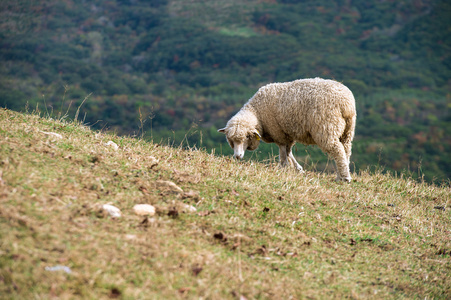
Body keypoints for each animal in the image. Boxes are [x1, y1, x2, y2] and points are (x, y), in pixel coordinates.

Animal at [218, 77, 356, 182]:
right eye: (230, 140)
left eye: (247, 137)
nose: (237, 156)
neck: (257, 112)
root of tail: (345, 104)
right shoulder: (287, 133)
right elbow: (289, 151)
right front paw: (297, 168)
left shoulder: (278, 132)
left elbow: (283, 152)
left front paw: (283, 167)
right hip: (347, 130)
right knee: (346, 150)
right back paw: (340, 175)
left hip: (327, 128)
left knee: (337, 150)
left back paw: (345, 178)